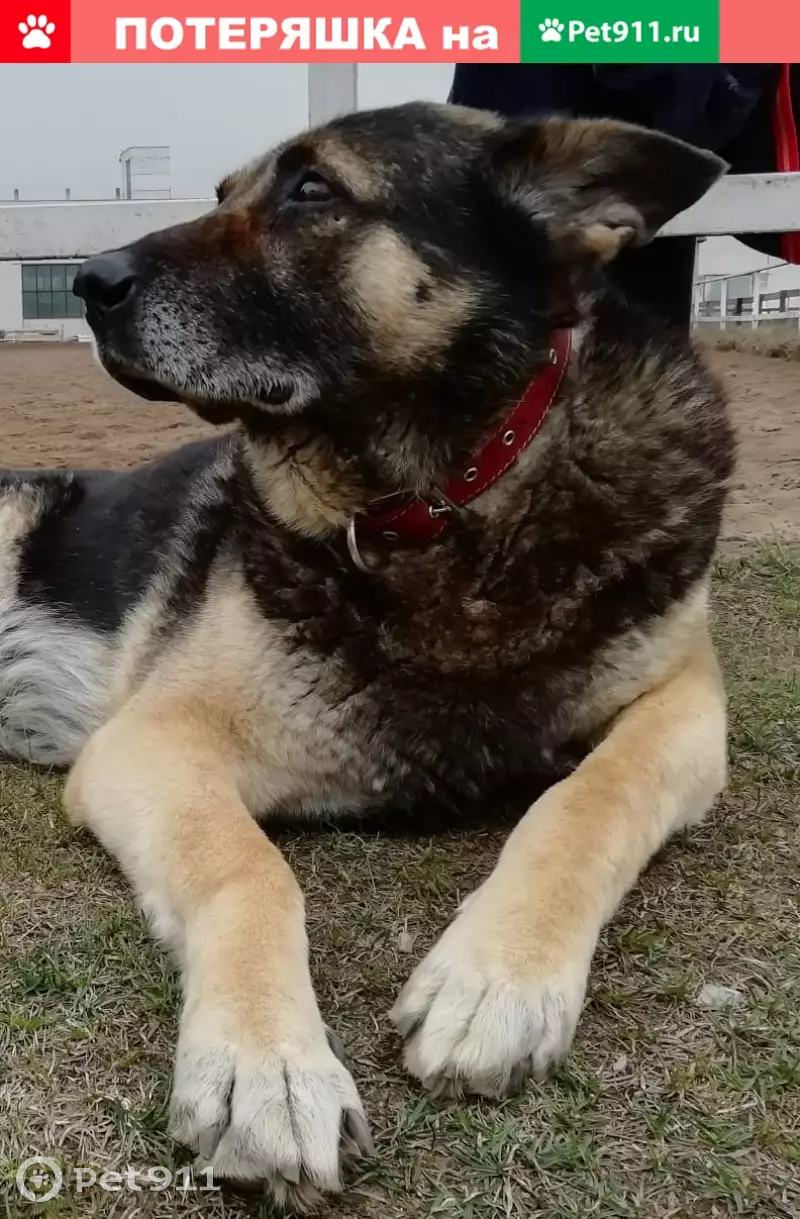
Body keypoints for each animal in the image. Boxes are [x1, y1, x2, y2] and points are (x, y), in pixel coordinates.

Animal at [0, 103, 734, 1208]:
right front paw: (264, 1066)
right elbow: (249, 869)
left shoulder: (685, 704)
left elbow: (586, 800)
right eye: (223, 194)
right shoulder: (155, 742)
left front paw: (497, 976)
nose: (87, 281)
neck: (439, 500)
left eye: (313, 191)